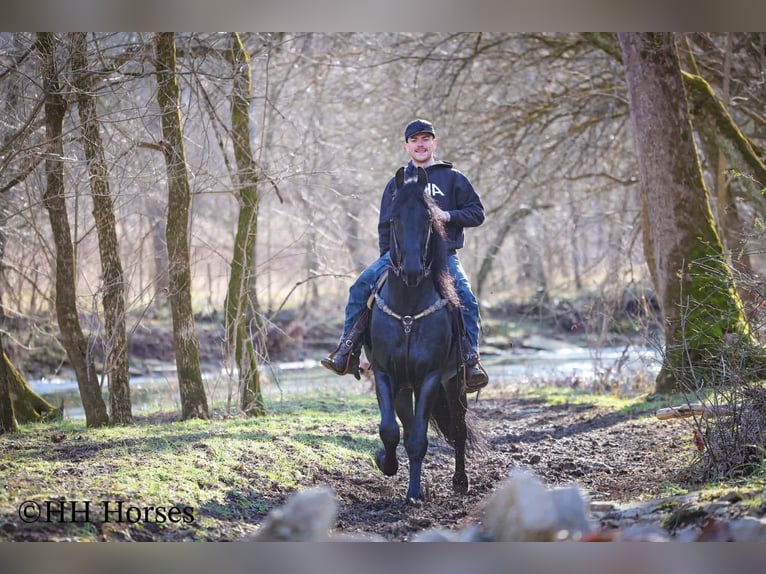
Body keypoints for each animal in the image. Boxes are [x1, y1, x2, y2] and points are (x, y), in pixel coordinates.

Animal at [364, 165, 477, 502]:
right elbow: (390, 430)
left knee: (458, 429)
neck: (409, 311)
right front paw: (385, 463)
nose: (412, 271)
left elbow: (418, 439)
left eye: (428, 219)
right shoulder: (384, 373)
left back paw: (460, 481)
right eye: (394, 218)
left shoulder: (429, 377)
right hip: (404, 386)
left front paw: (415, 492)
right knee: (405, 424)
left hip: (454, 383)